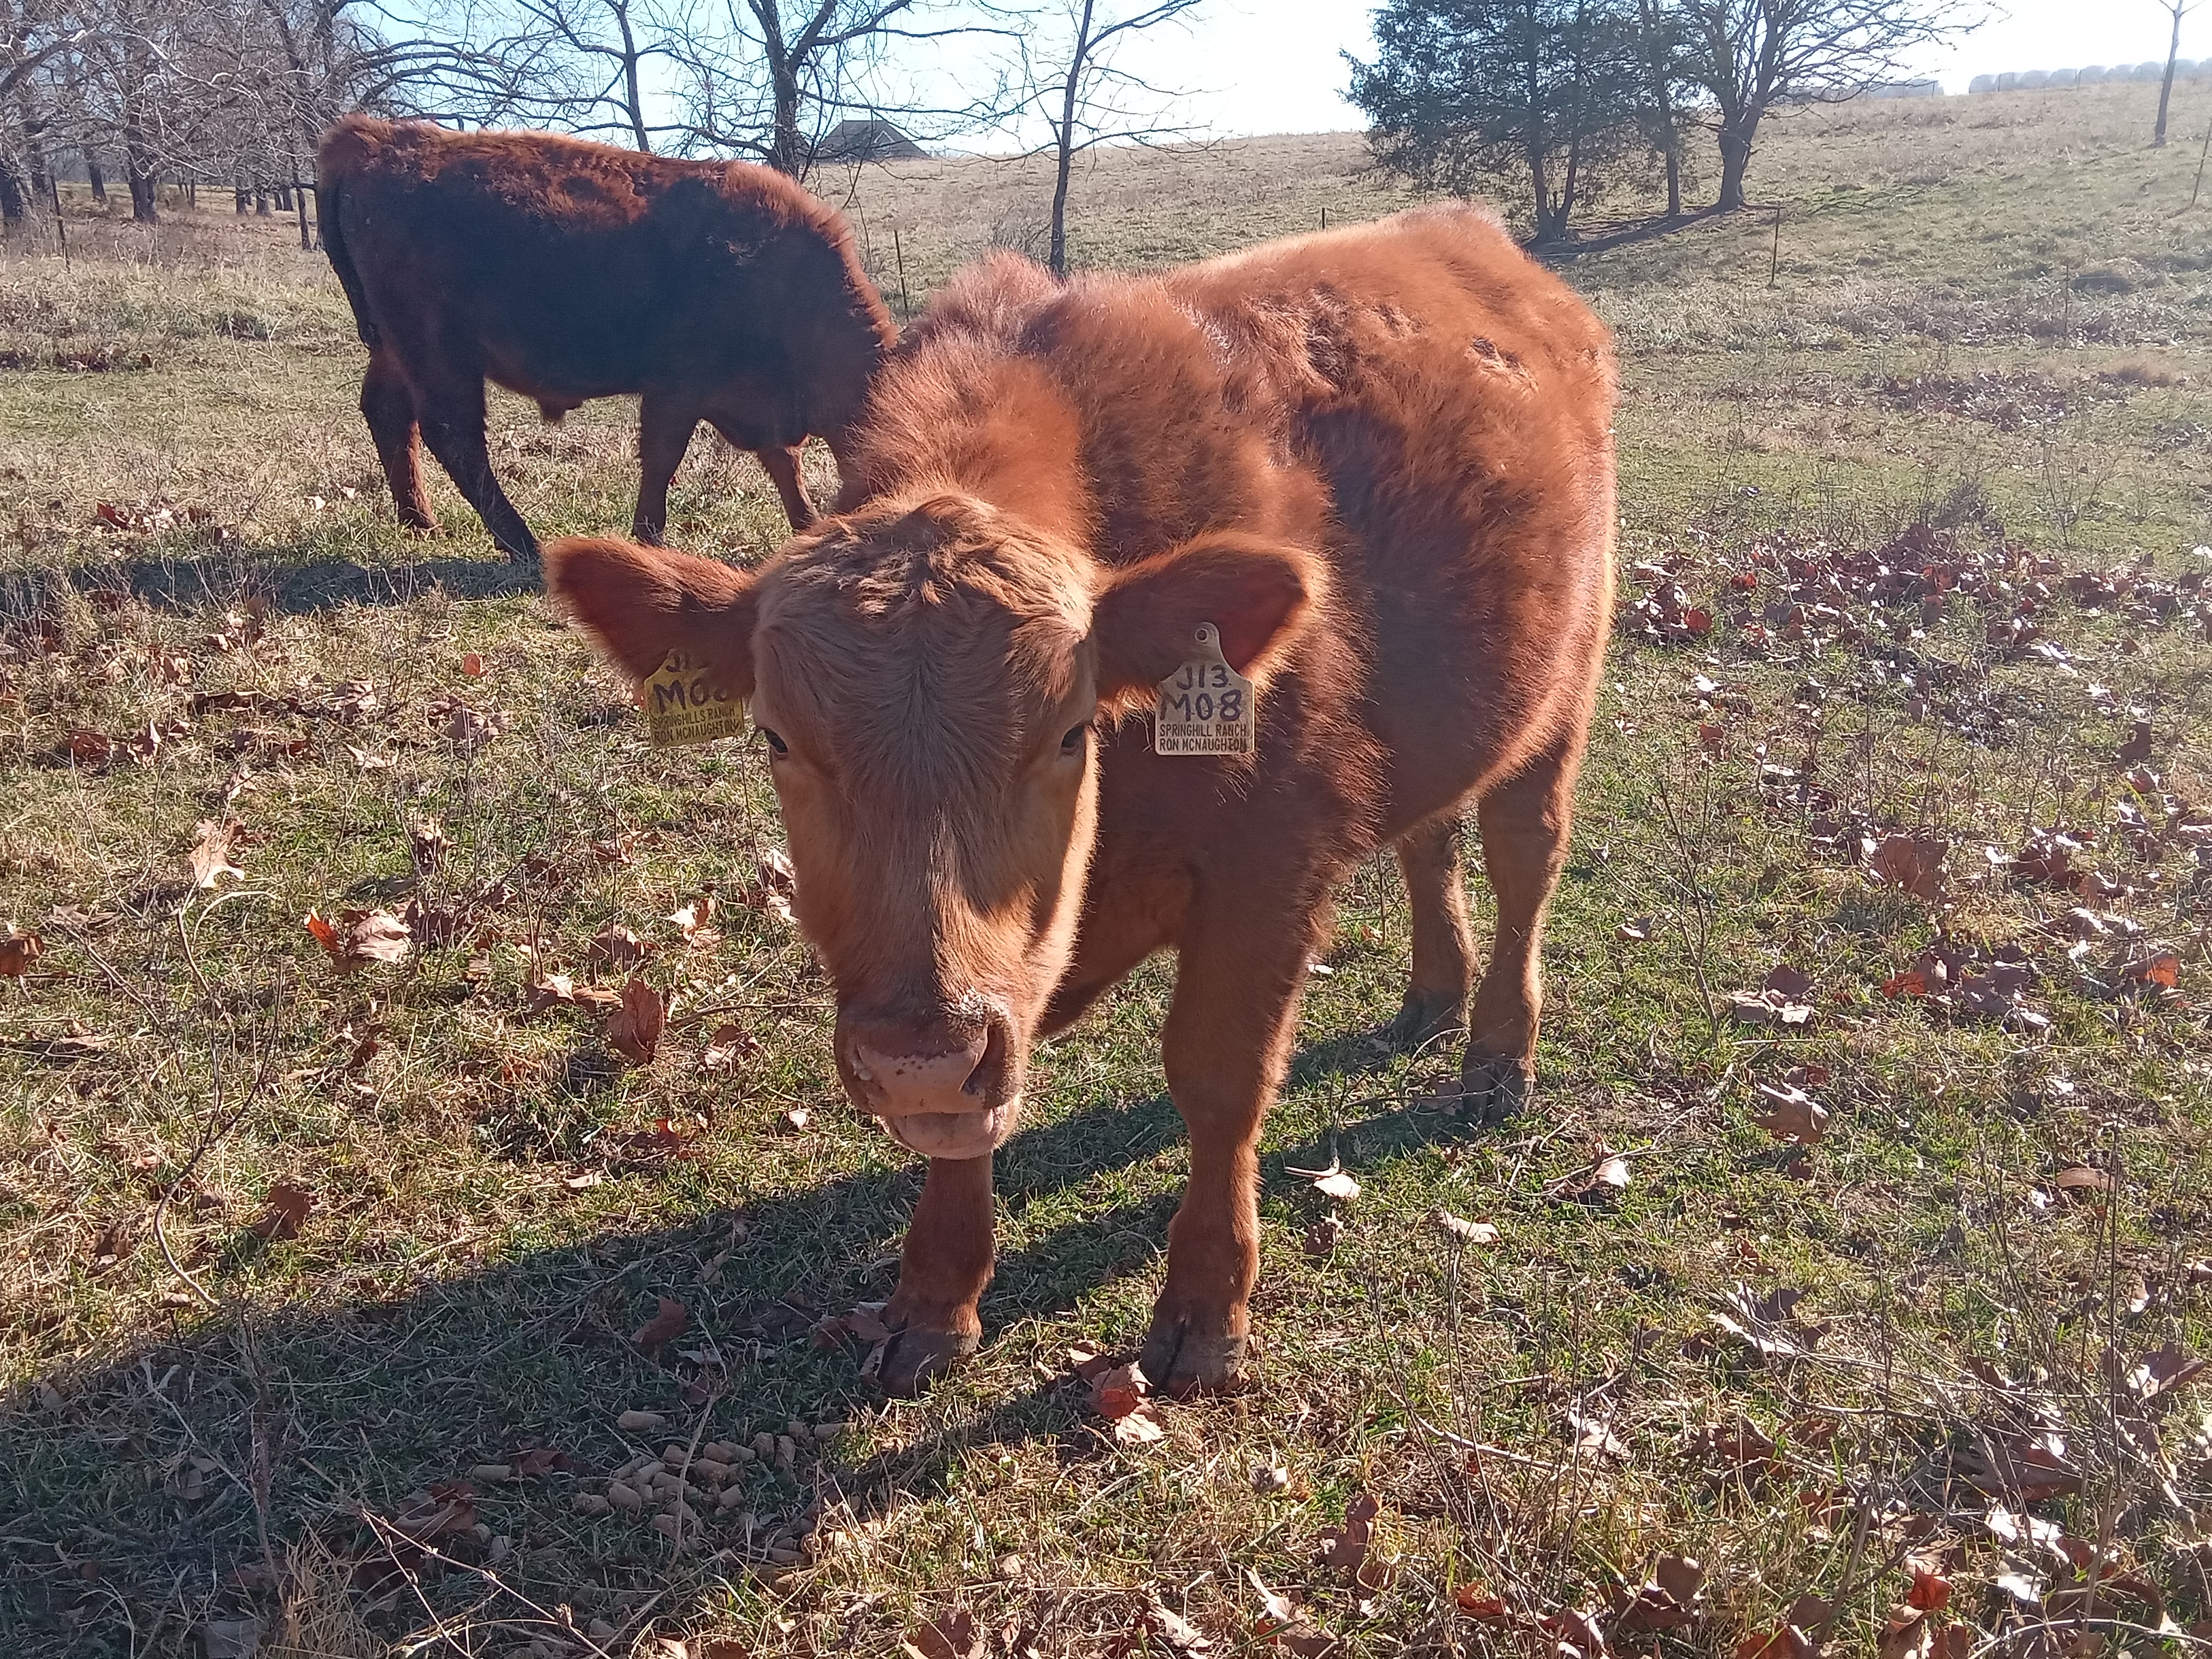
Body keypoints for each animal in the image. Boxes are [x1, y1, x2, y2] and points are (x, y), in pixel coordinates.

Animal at [317, 118, 897, 567]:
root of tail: (374, 138)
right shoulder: (678, 388)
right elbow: (663, 458)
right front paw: (647, 540)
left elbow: (782, 463)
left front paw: (807, 525)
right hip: (439, 355)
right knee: (453, 436)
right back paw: (523, 543)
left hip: (393, 350)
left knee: (389, 413)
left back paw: (421, 521)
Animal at [543, 204, 1617, 1397]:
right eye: (776, 737)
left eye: (1068, 730)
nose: (916, 1053)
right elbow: (968, 1124)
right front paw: (936, 1296)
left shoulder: (1269, 868)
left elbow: (1218, 1077)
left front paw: (1205, 1305)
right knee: (1429, 841)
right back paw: (1432, 995)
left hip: (1559, 698)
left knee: (1524, 858)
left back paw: (1496, 1056)